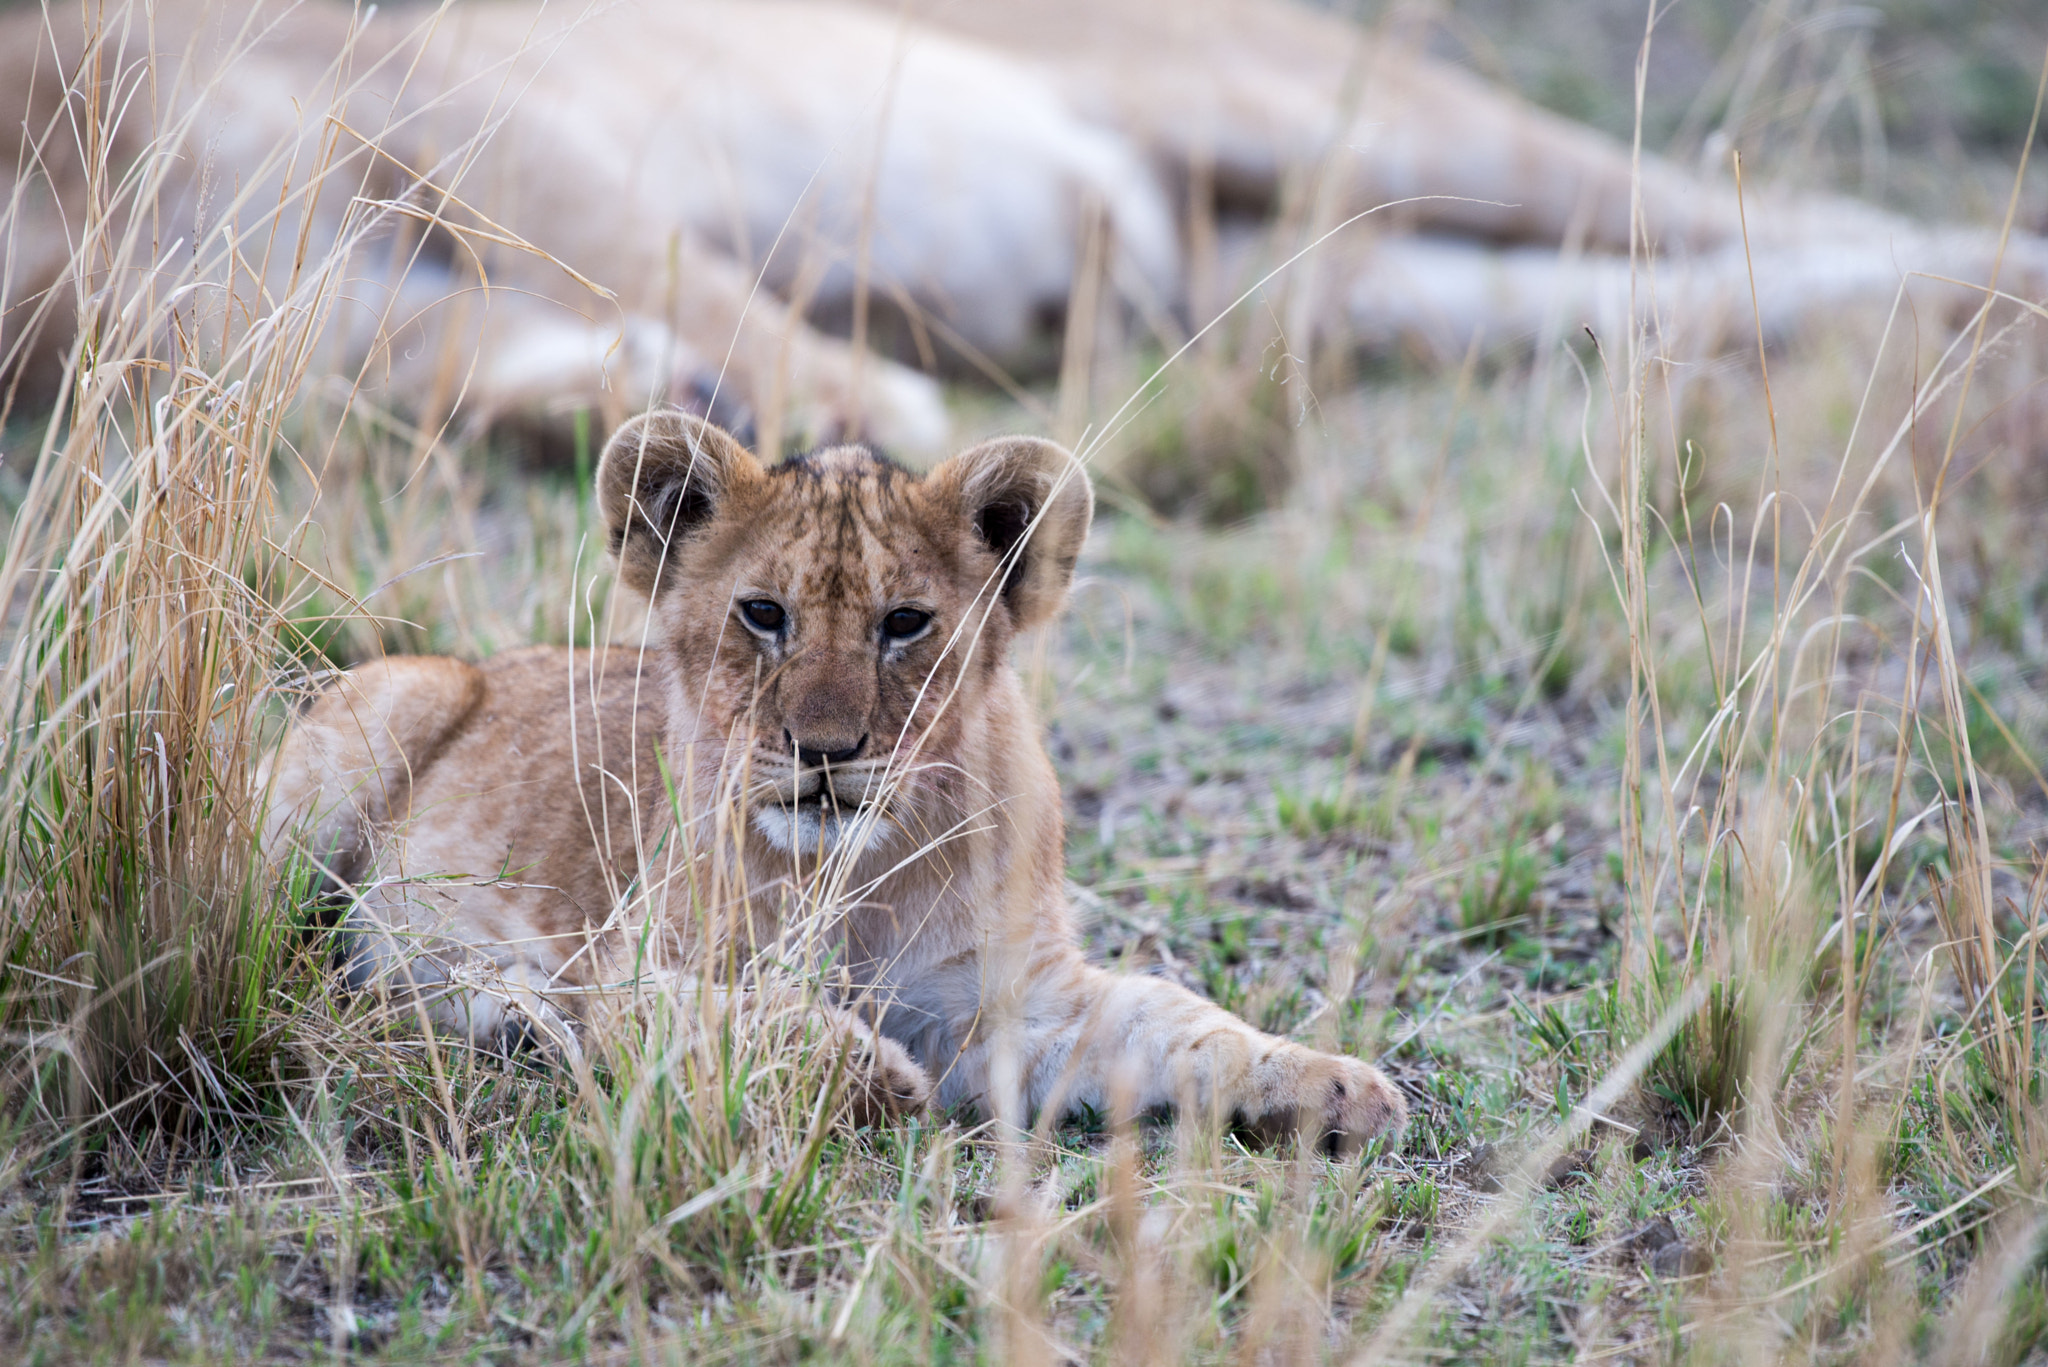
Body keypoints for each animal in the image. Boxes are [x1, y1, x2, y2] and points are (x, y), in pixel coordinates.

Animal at [261, 410, 1408, 1146]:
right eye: (763, 613)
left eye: (904, 623)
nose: (825, 749)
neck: (854, 882)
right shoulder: (631, 965)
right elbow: (747, 1013)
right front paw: (872, 1075)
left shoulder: (1015, 1006)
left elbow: (1175, 1019)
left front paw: (1332, 1084)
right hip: (372, 726)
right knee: (310, 960)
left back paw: (514, 1019)